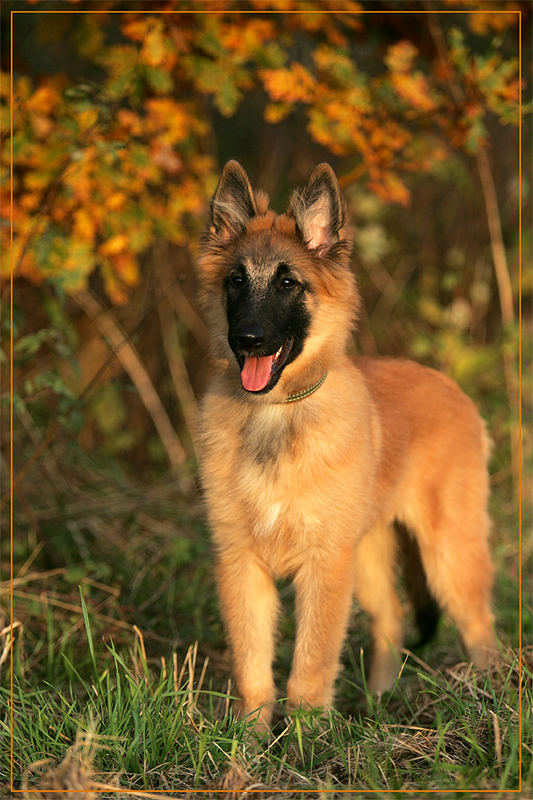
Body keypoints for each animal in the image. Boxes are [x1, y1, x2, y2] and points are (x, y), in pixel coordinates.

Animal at [197, 159, 496, 728]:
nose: (247, 339)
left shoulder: (324, 565)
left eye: (288, 283)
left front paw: (304, 741)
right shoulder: (240, 563)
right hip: (371, 556)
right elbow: (253, 669)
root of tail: (451, 388)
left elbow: (310, 667)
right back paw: (380, 705)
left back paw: (489, 704)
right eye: (235, 281)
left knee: (481, 630)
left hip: (448, 554)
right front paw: (249, 744)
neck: (276, 414)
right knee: (393, 622)